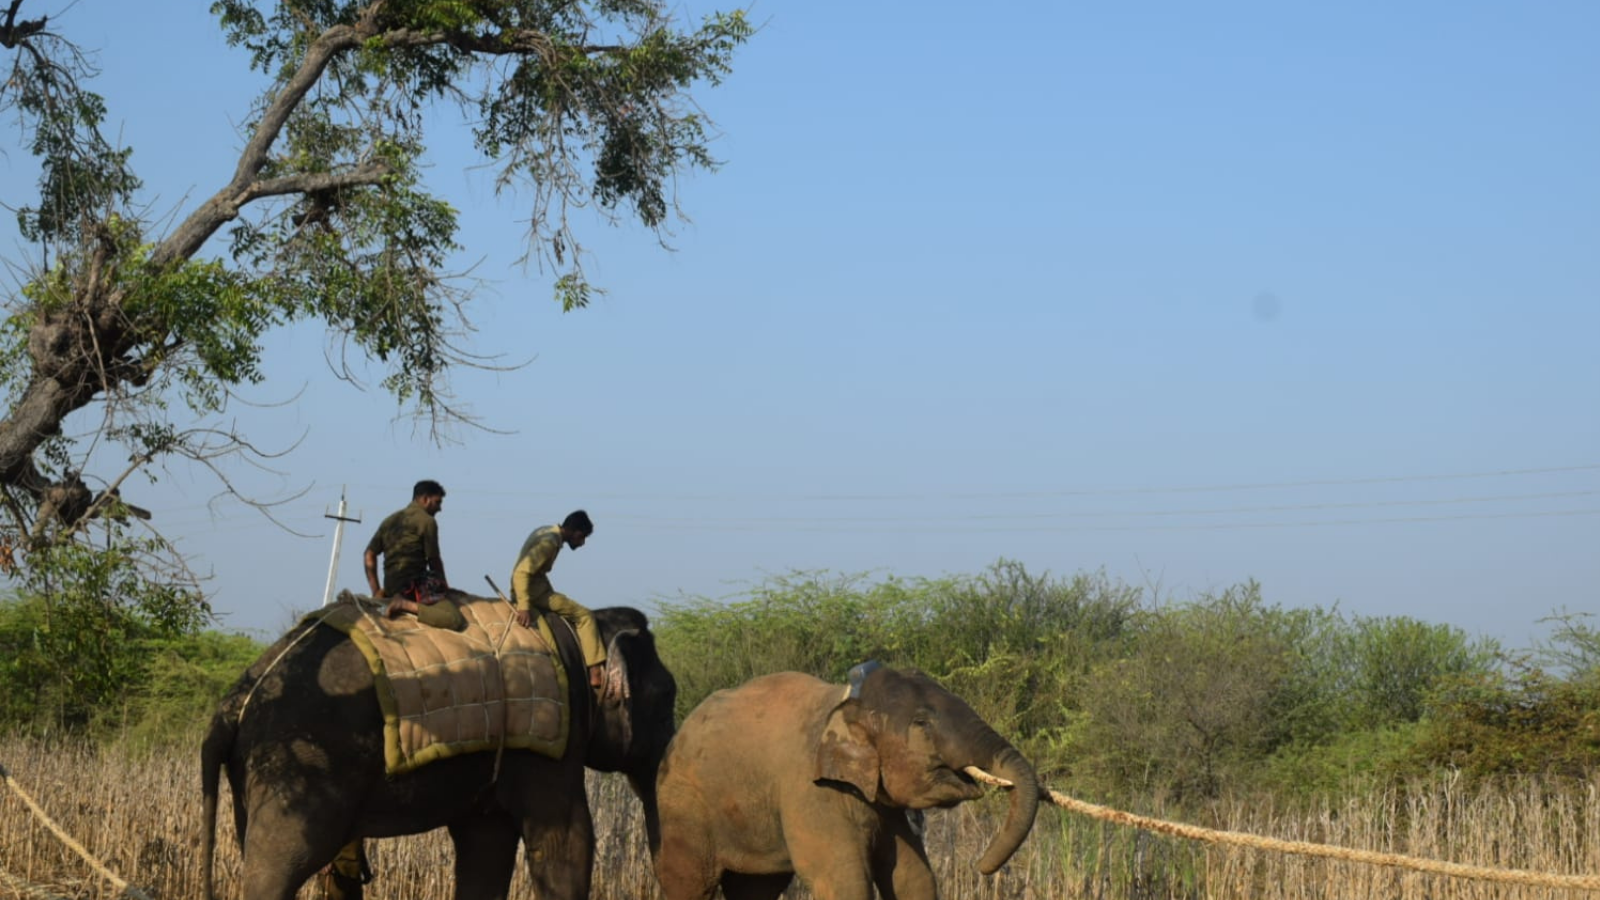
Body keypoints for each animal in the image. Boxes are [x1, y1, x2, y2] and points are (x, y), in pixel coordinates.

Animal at [200, 598, 675, 896]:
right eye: (668, 700)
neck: (585, 622)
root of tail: (234, 701)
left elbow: (486, 845)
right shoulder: (551, 743)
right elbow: (565, 840)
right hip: (303, 763)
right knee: (280, 864)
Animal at [652, 659, 1043, 896]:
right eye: (922, 724)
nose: (980, 867)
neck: (845, 702)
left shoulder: (881, 801)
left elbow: (912, 876)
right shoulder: (810, 789)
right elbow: (842, 879)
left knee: (756, 888)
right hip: (683, 805)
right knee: (690, 882)